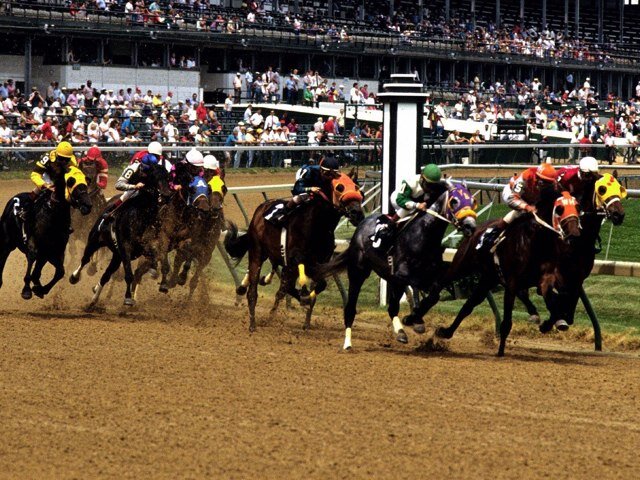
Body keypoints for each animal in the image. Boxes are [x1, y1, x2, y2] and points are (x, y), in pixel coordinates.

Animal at [0, 167, 92, 298]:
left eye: (85, 186)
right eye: (75, 187)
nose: (88, 206)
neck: (53, 216)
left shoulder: (53, 251)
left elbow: (59, 272)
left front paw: (40, 289)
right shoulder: (34, 244)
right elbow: (32, 260)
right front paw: (27, 290)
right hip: (7, 244)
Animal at [69, 162, 171, 308]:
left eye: (168, 177)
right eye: (154, 177)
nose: (167, 195)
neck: (141, 217)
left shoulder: (149, 245)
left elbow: (159, 258)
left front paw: (158, 277)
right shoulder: (125, 248)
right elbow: (128, 274)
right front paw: (128, 298)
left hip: (116, 256)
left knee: (106, 275)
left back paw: (94, 299)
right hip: (94, 240)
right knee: (85, 260)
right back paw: (75, 277)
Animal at [318, 184, 478, 348]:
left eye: (473, 201)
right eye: (454, 201)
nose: (470, 226)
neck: (422, 237)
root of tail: (362, 225)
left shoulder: (428, 277)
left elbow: (433, 296)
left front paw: (415, 319)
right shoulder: (402, 274)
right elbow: (416, 286)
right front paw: (414, 320)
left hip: (391, 279)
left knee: (392, 308)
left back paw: (401, 332)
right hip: (358, 271)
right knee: (351, 308)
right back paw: (347, 343)